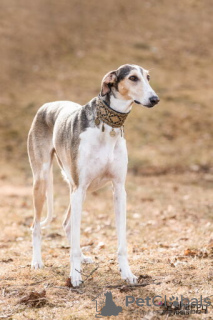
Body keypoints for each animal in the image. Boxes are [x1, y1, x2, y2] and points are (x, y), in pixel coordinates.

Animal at [27, 63, 160, 286]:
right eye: (133, 78)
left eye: (148, 77)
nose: (155, 99)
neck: (108, 127)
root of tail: (47, 105)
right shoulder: (79, 187)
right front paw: (74, 276)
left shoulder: (118, 190)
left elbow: (122, 243)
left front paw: (127, 273)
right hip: (44, 181)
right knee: (36, 226)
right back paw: (37, 261)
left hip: (79, 189)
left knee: (67, 224)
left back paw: (82, 256)